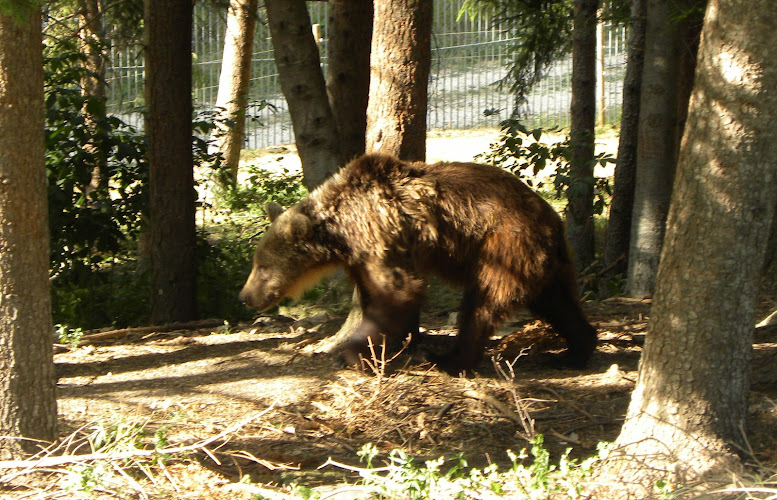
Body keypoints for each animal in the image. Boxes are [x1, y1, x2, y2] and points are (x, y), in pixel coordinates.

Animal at [239, 153, 597, 374]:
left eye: (263, 267)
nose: (245, 296)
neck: (340, 230)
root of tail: (552, 218)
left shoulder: (378, 234)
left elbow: (398, 291)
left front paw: (355, 354)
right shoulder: (358, 256)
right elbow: (374, 295)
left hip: (503, 243)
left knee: (483, 302)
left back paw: (451, 360)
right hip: (544, 260)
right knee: (557, 302)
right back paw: (576, 351)